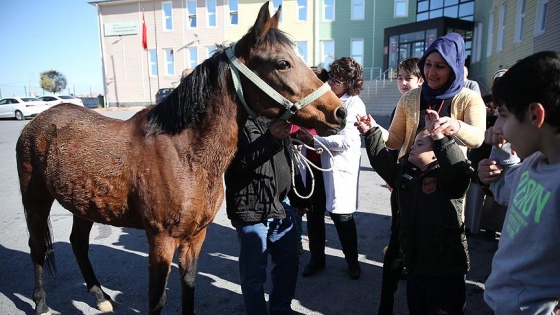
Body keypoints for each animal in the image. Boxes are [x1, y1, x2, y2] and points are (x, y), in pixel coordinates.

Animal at [16, 1, 346, 314]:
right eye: (282, 63)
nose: (339, 113)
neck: (184, 155)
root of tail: (38, 122)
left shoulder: (196, 236)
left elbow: (189, 285)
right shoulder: (161, 240)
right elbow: (157, 299)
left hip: (84, 206)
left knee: (79, 244)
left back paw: (100, 297)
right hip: (36, 200)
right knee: (36, 247)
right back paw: (41, 303)